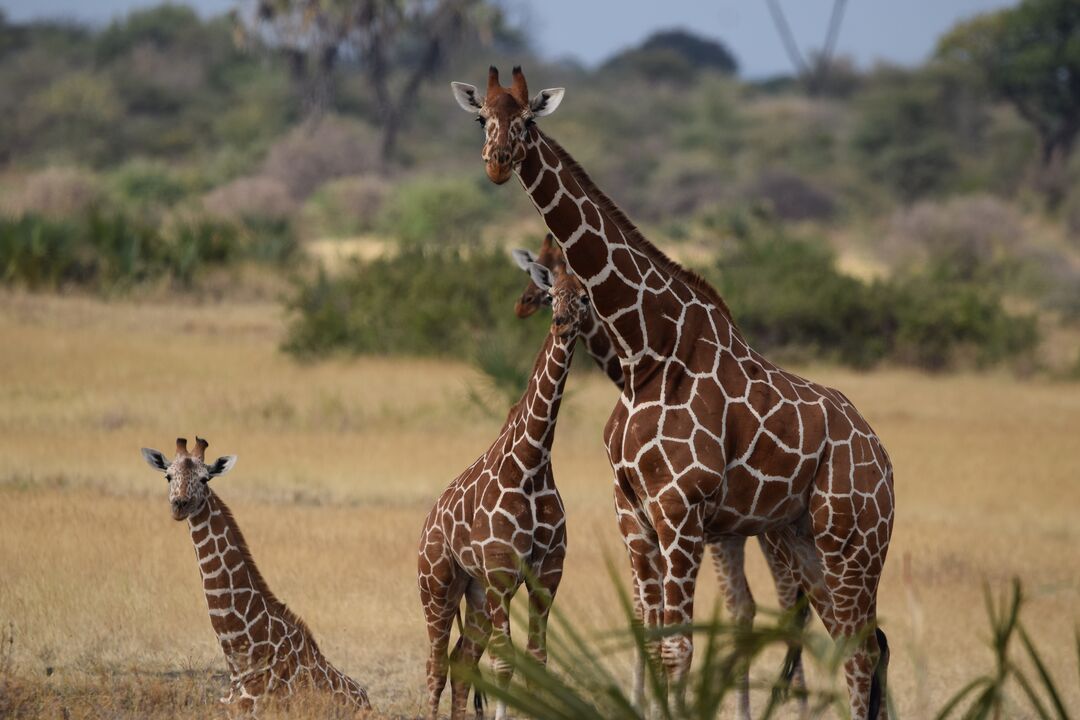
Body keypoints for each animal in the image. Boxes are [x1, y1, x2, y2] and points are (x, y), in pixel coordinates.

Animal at [141, 436, 369, 716]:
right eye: (168, 476)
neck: (243, 661)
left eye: (205, 478)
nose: (180, 505)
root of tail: (366, 699)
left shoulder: (254, 708)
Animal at [416, 264, 591, 720]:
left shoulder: (547, 574)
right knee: (436, 664)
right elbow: (504, 663)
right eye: (551, 294)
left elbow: (536, 662)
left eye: (584, 297)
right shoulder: (501, 572)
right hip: (437, 585)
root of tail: (428, 522)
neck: (531, 462)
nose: (562, 323)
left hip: (474, 593)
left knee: (461, 661)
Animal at [509, 236, 807, 720]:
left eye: (559, 267)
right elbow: (650, 617)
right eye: (538, 267)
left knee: (786, 607)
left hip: (774, 534)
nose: (524, 304)